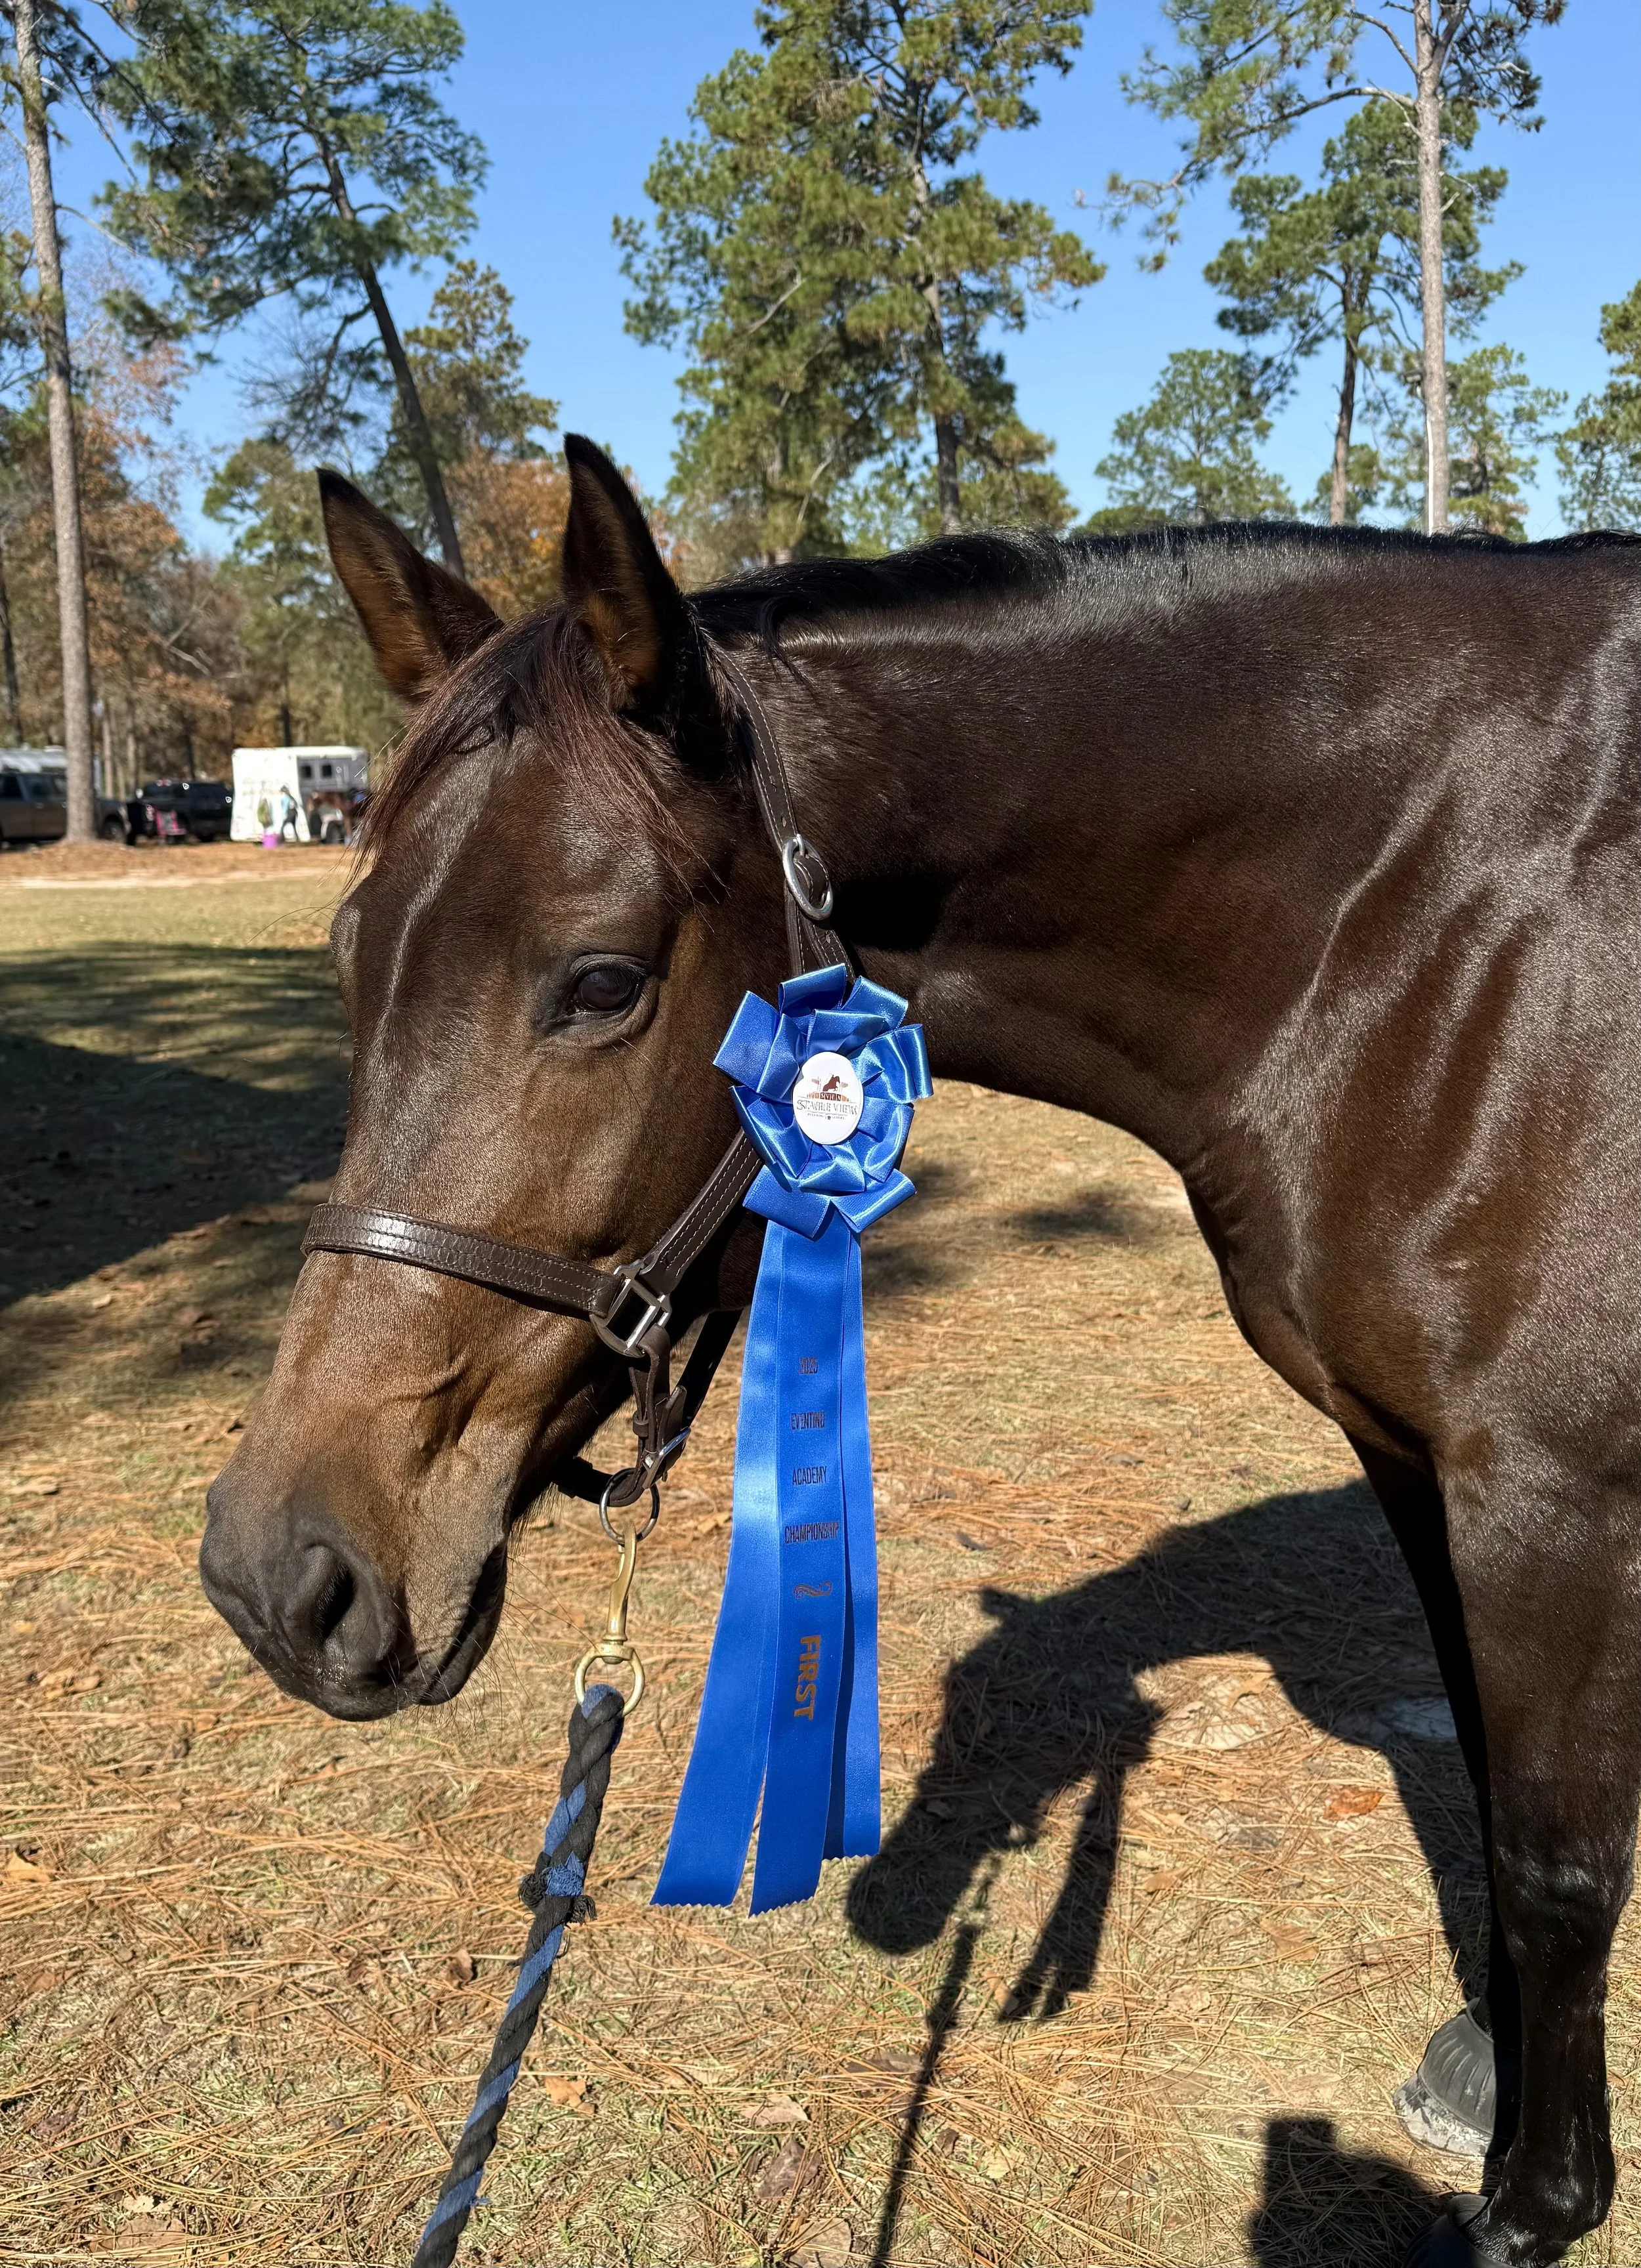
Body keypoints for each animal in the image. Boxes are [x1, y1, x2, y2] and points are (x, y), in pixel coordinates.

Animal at [199, 435, 1641, 2268]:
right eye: (343, 956)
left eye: (599, 982)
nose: (277, 1576)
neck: (1448, 927)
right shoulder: (1423, 1464)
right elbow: (1487, 1796)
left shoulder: (1548, 1498)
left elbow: (1553, 1862)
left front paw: (1536, 2203)